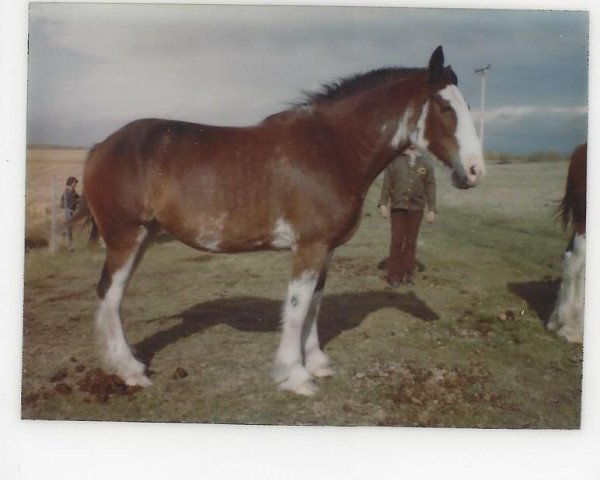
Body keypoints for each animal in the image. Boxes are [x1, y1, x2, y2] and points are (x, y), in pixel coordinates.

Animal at [72, 47, 486, 396]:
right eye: (445, 107)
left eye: (467, 104)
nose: (475, 171)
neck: (332, 148)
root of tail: (101, 146)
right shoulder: (309, 248)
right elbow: (298, 308)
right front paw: (295, 375)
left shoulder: (326, 250)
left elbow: (315, 304)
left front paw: (317, 363)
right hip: (125, 236)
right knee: (110, 295)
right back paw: (129, 371)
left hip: (140, 237)